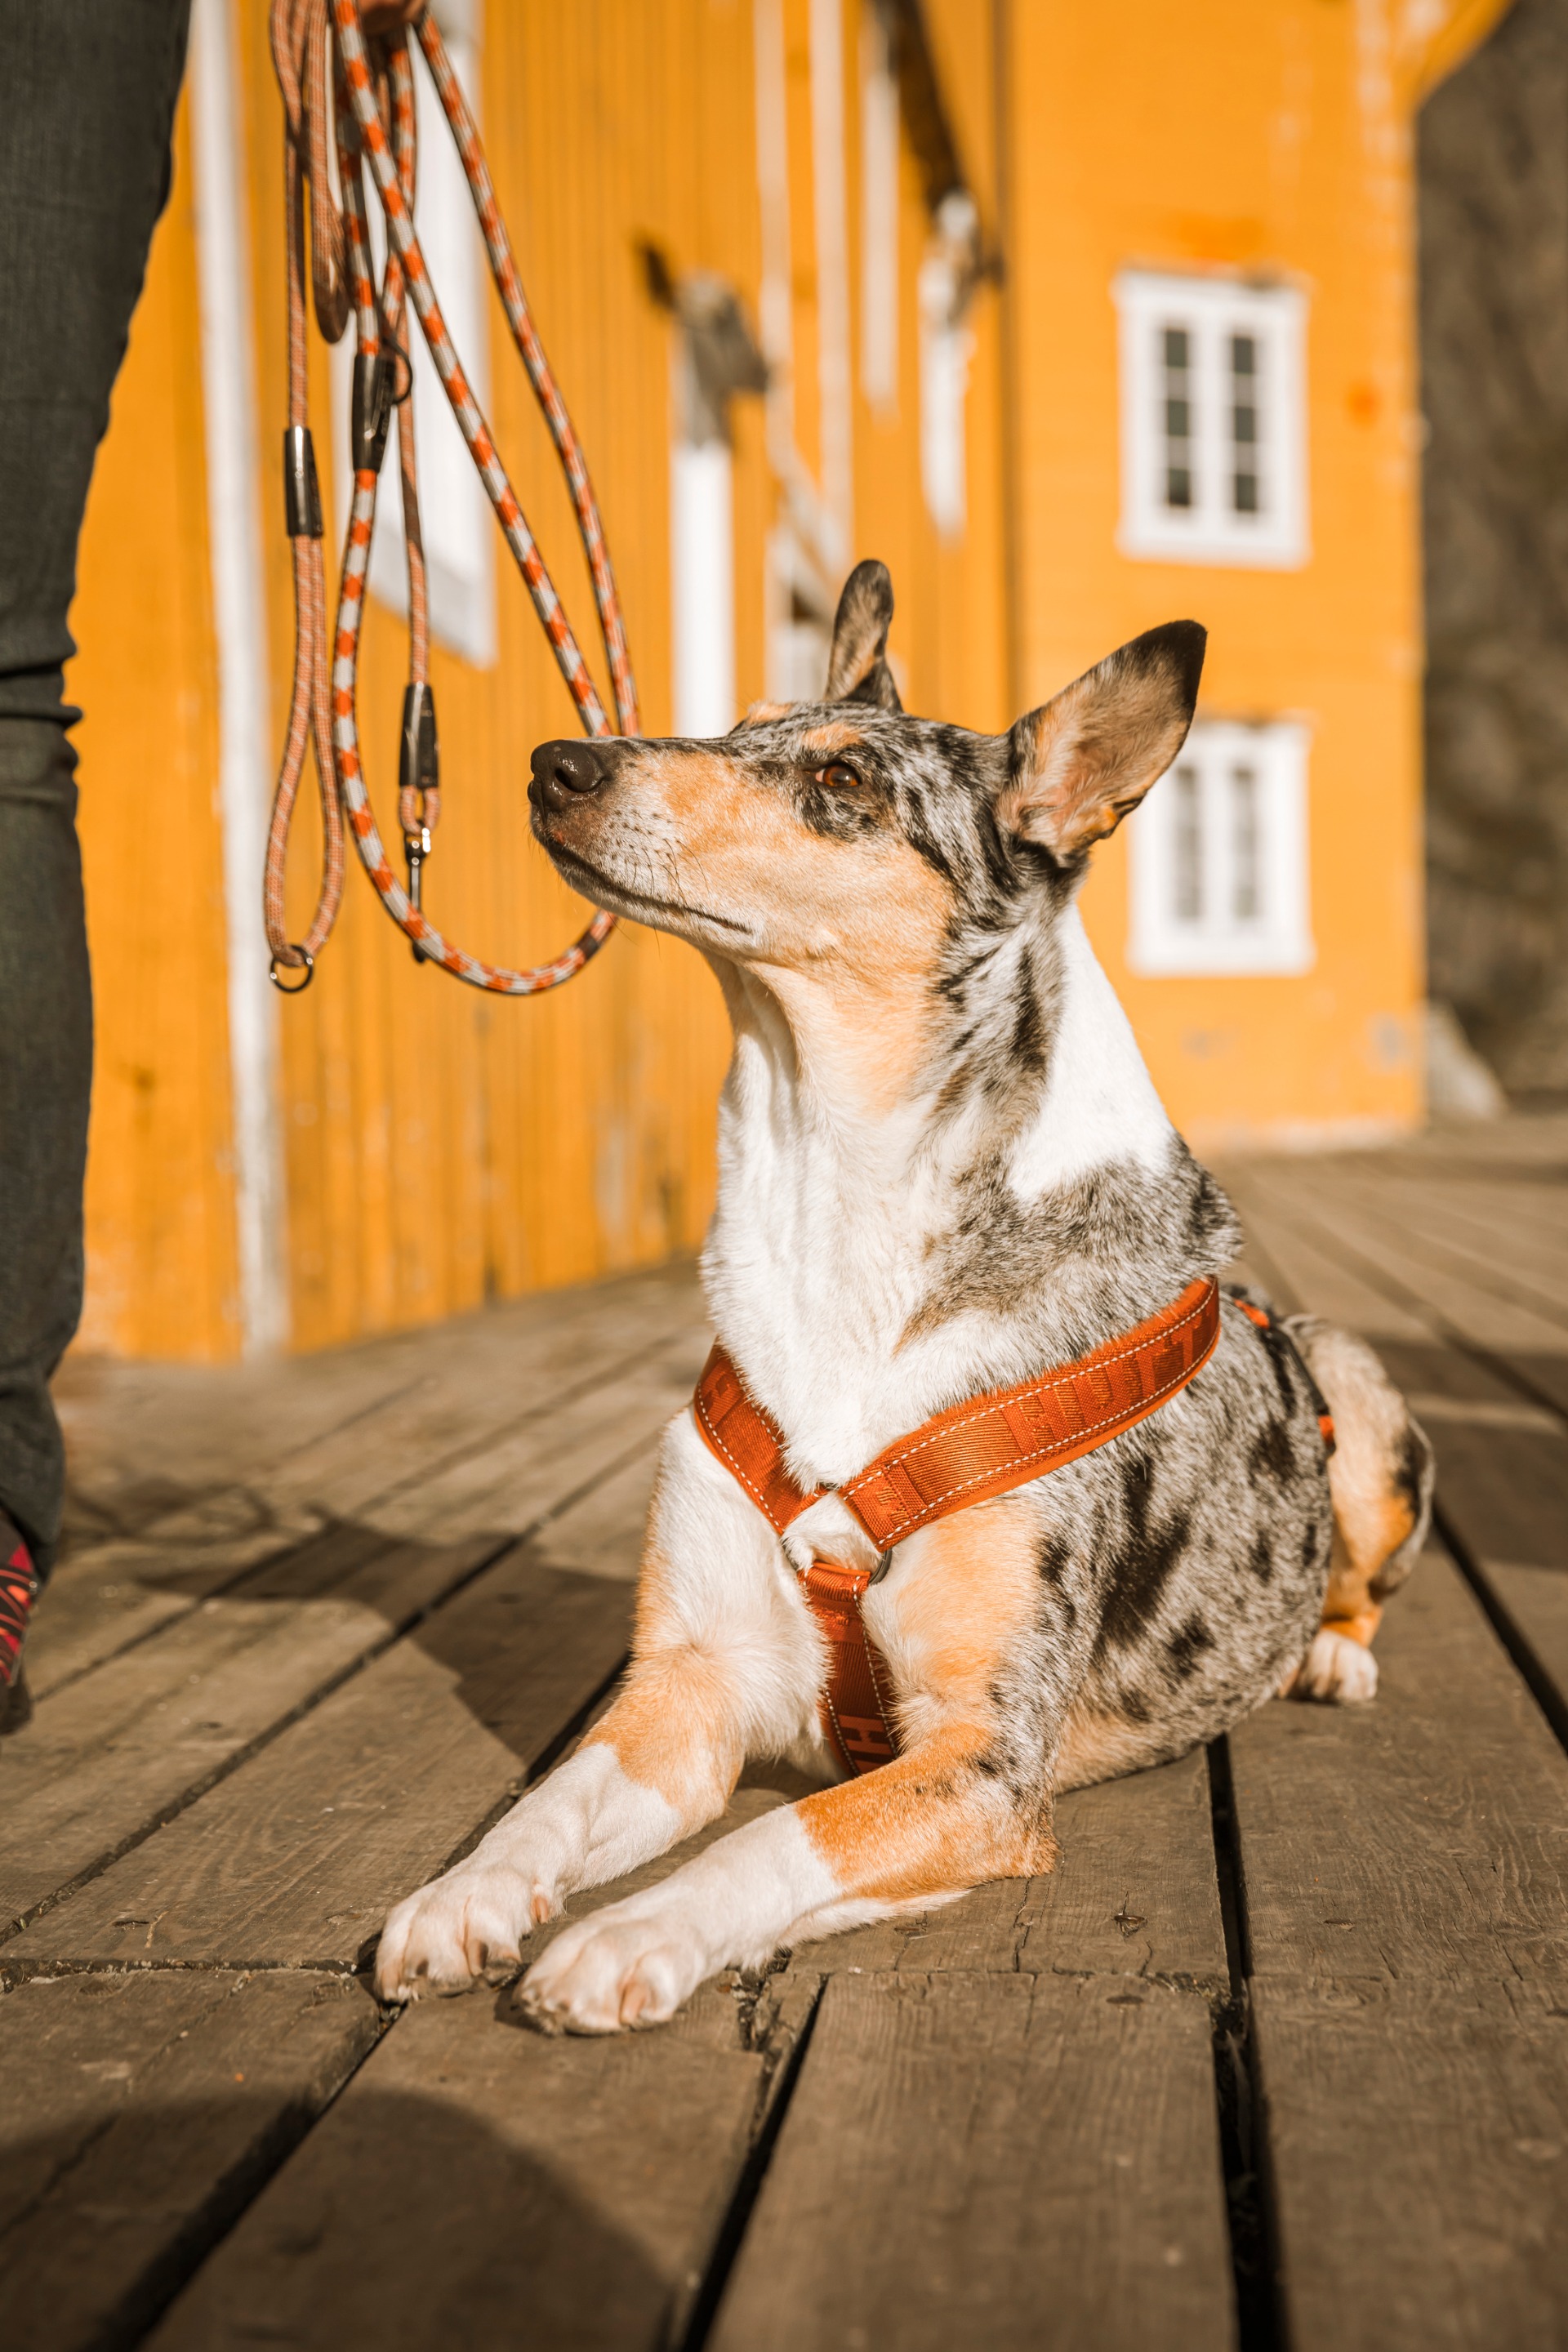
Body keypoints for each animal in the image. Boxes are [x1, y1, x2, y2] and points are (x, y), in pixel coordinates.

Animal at [371, 559, 1438, 2032]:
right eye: (741, 726)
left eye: (842, 779)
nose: (558, 762)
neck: (836, 1212)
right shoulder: (685, 1689)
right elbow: (548, 1802)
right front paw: (466, 1895)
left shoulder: (982, 1758)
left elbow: (778, 1836)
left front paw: (627, 1937)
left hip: (1360, 1390)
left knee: (1360, 1580)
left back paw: (1331, 1652)